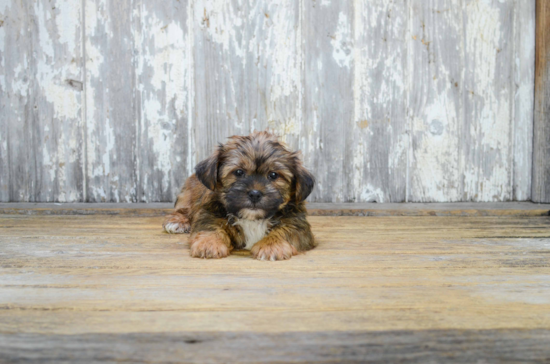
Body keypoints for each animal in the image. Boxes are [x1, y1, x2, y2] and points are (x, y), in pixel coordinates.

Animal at [162, 132, 316, 260]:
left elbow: (286, 231)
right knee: (183, 209)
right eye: (239, 172)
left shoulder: (297, 223)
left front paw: (271, 245)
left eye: (273, 175)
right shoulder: (209, 213)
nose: (255, 194)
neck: (252, 219)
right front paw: (209, 243)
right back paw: (178, 221)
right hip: (188, 193)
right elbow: (210, 227)